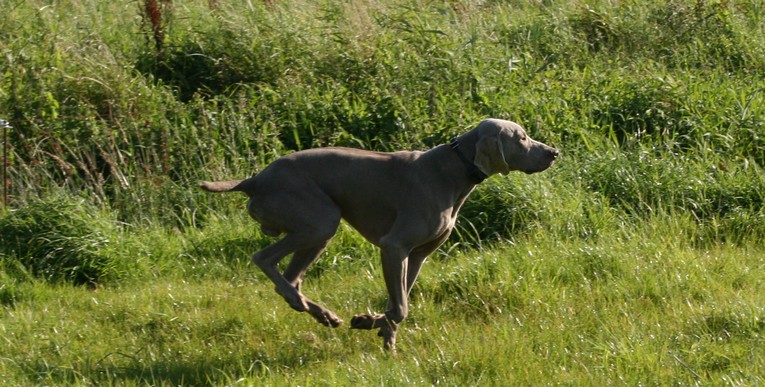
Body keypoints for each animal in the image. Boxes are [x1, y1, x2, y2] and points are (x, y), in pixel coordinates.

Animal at [200, 118, 560, 352]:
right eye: (522, 137)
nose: (554, 152)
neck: (456, 168)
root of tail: (255, 179)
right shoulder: (394, 246)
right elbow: (399, 308)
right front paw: (371, 323)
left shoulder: (416, 255)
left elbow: (398, 302)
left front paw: (380, 331)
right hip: (320, 220)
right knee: (264, 258)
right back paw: (302, 303)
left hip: (317, 231)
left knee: (291, 277)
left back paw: (321, 313)